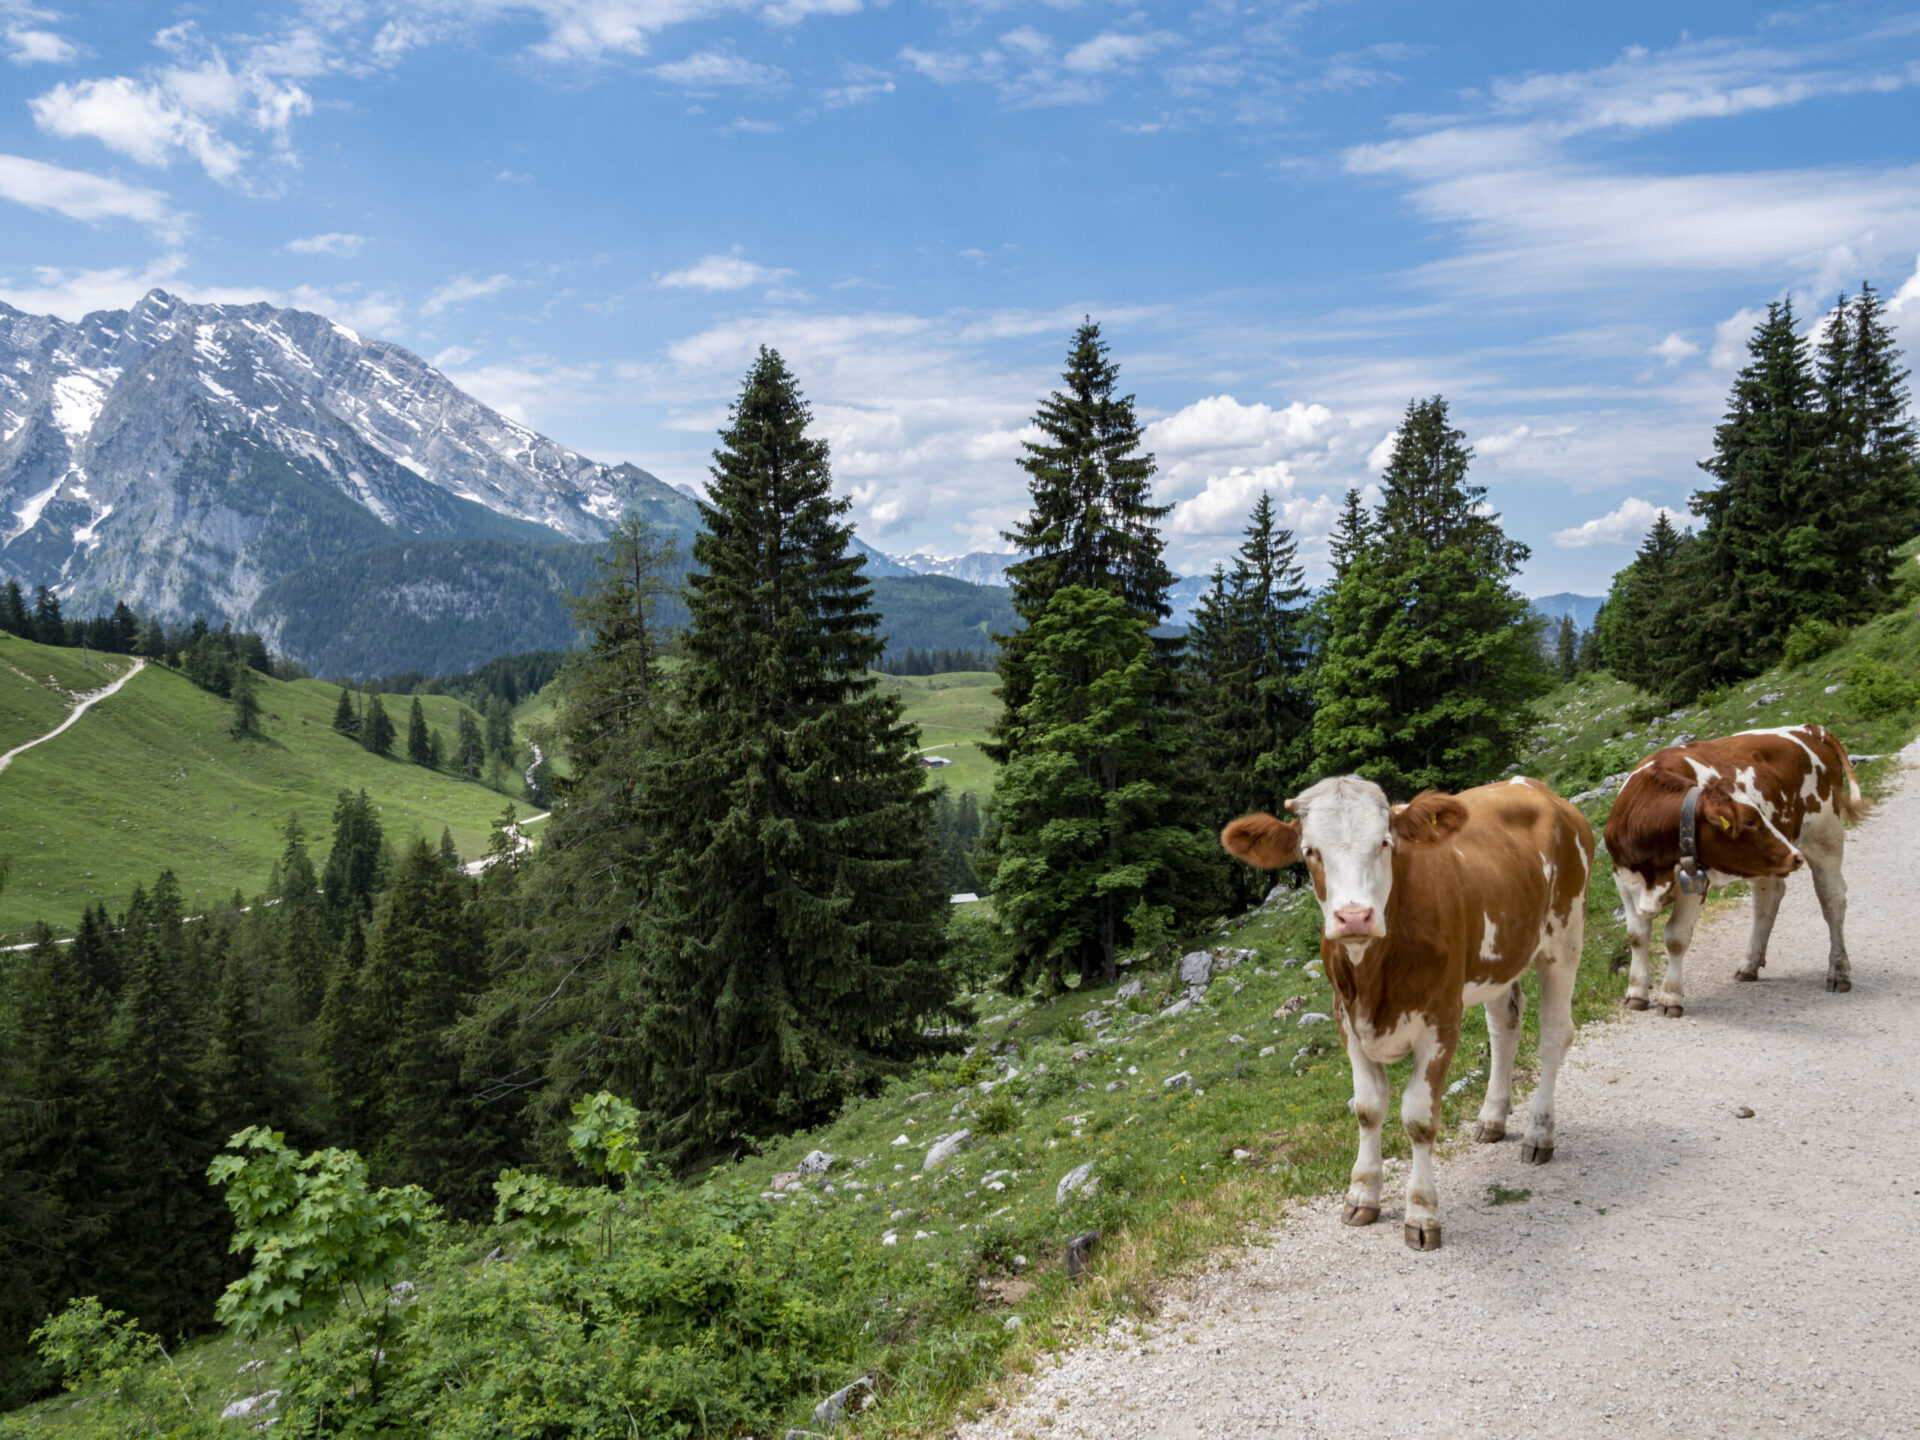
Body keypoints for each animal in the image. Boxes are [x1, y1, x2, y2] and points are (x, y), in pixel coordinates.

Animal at [1221, 779, 1597, 1251]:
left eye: (1385, 842)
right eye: (1310, 851)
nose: (1354, 917)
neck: (1374, 979)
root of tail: (1534, 786)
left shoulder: (1442, 1019)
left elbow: (1418, 1119)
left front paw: (1421, 1212)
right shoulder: (1346, 1019)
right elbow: (1367, 1108)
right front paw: (1362, 1193)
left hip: (1565, 936)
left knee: (1553, 1035)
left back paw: (1539, 1134)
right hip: (1497, 959)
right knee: (1504, 1026)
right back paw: (1492, 1118)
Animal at [1597, 725, 1866, 1021]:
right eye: (1749, 821)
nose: (1794, 856)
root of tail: (1810, 729)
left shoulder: (1694, 883)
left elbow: (1676, 938)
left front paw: (1670, 997)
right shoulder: (1623, 879)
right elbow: (1637, 935)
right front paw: (1636, 993)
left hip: (1825, 836)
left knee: (1832, 900)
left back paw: (1839, 972)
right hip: (1767, 863)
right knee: (1766, 902)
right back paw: (1750, 964)